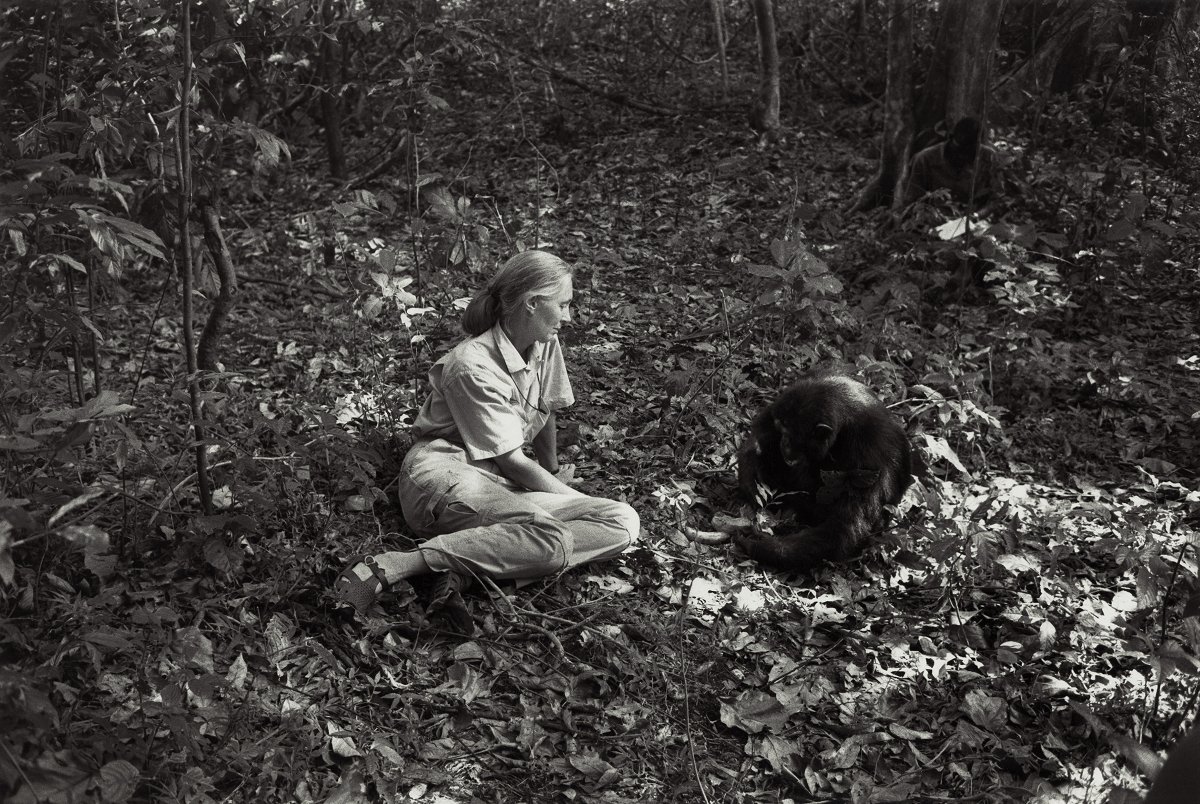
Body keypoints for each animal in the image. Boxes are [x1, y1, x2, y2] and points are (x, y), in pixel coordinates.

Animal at [729, 374, 916, 571]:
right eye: (781, 430)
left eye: (790, 435)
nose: (783, 443)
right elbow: (763, 425)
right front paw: (751, 479)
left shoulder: (872, 458)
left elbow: (844, 527)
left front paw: (761, 545)